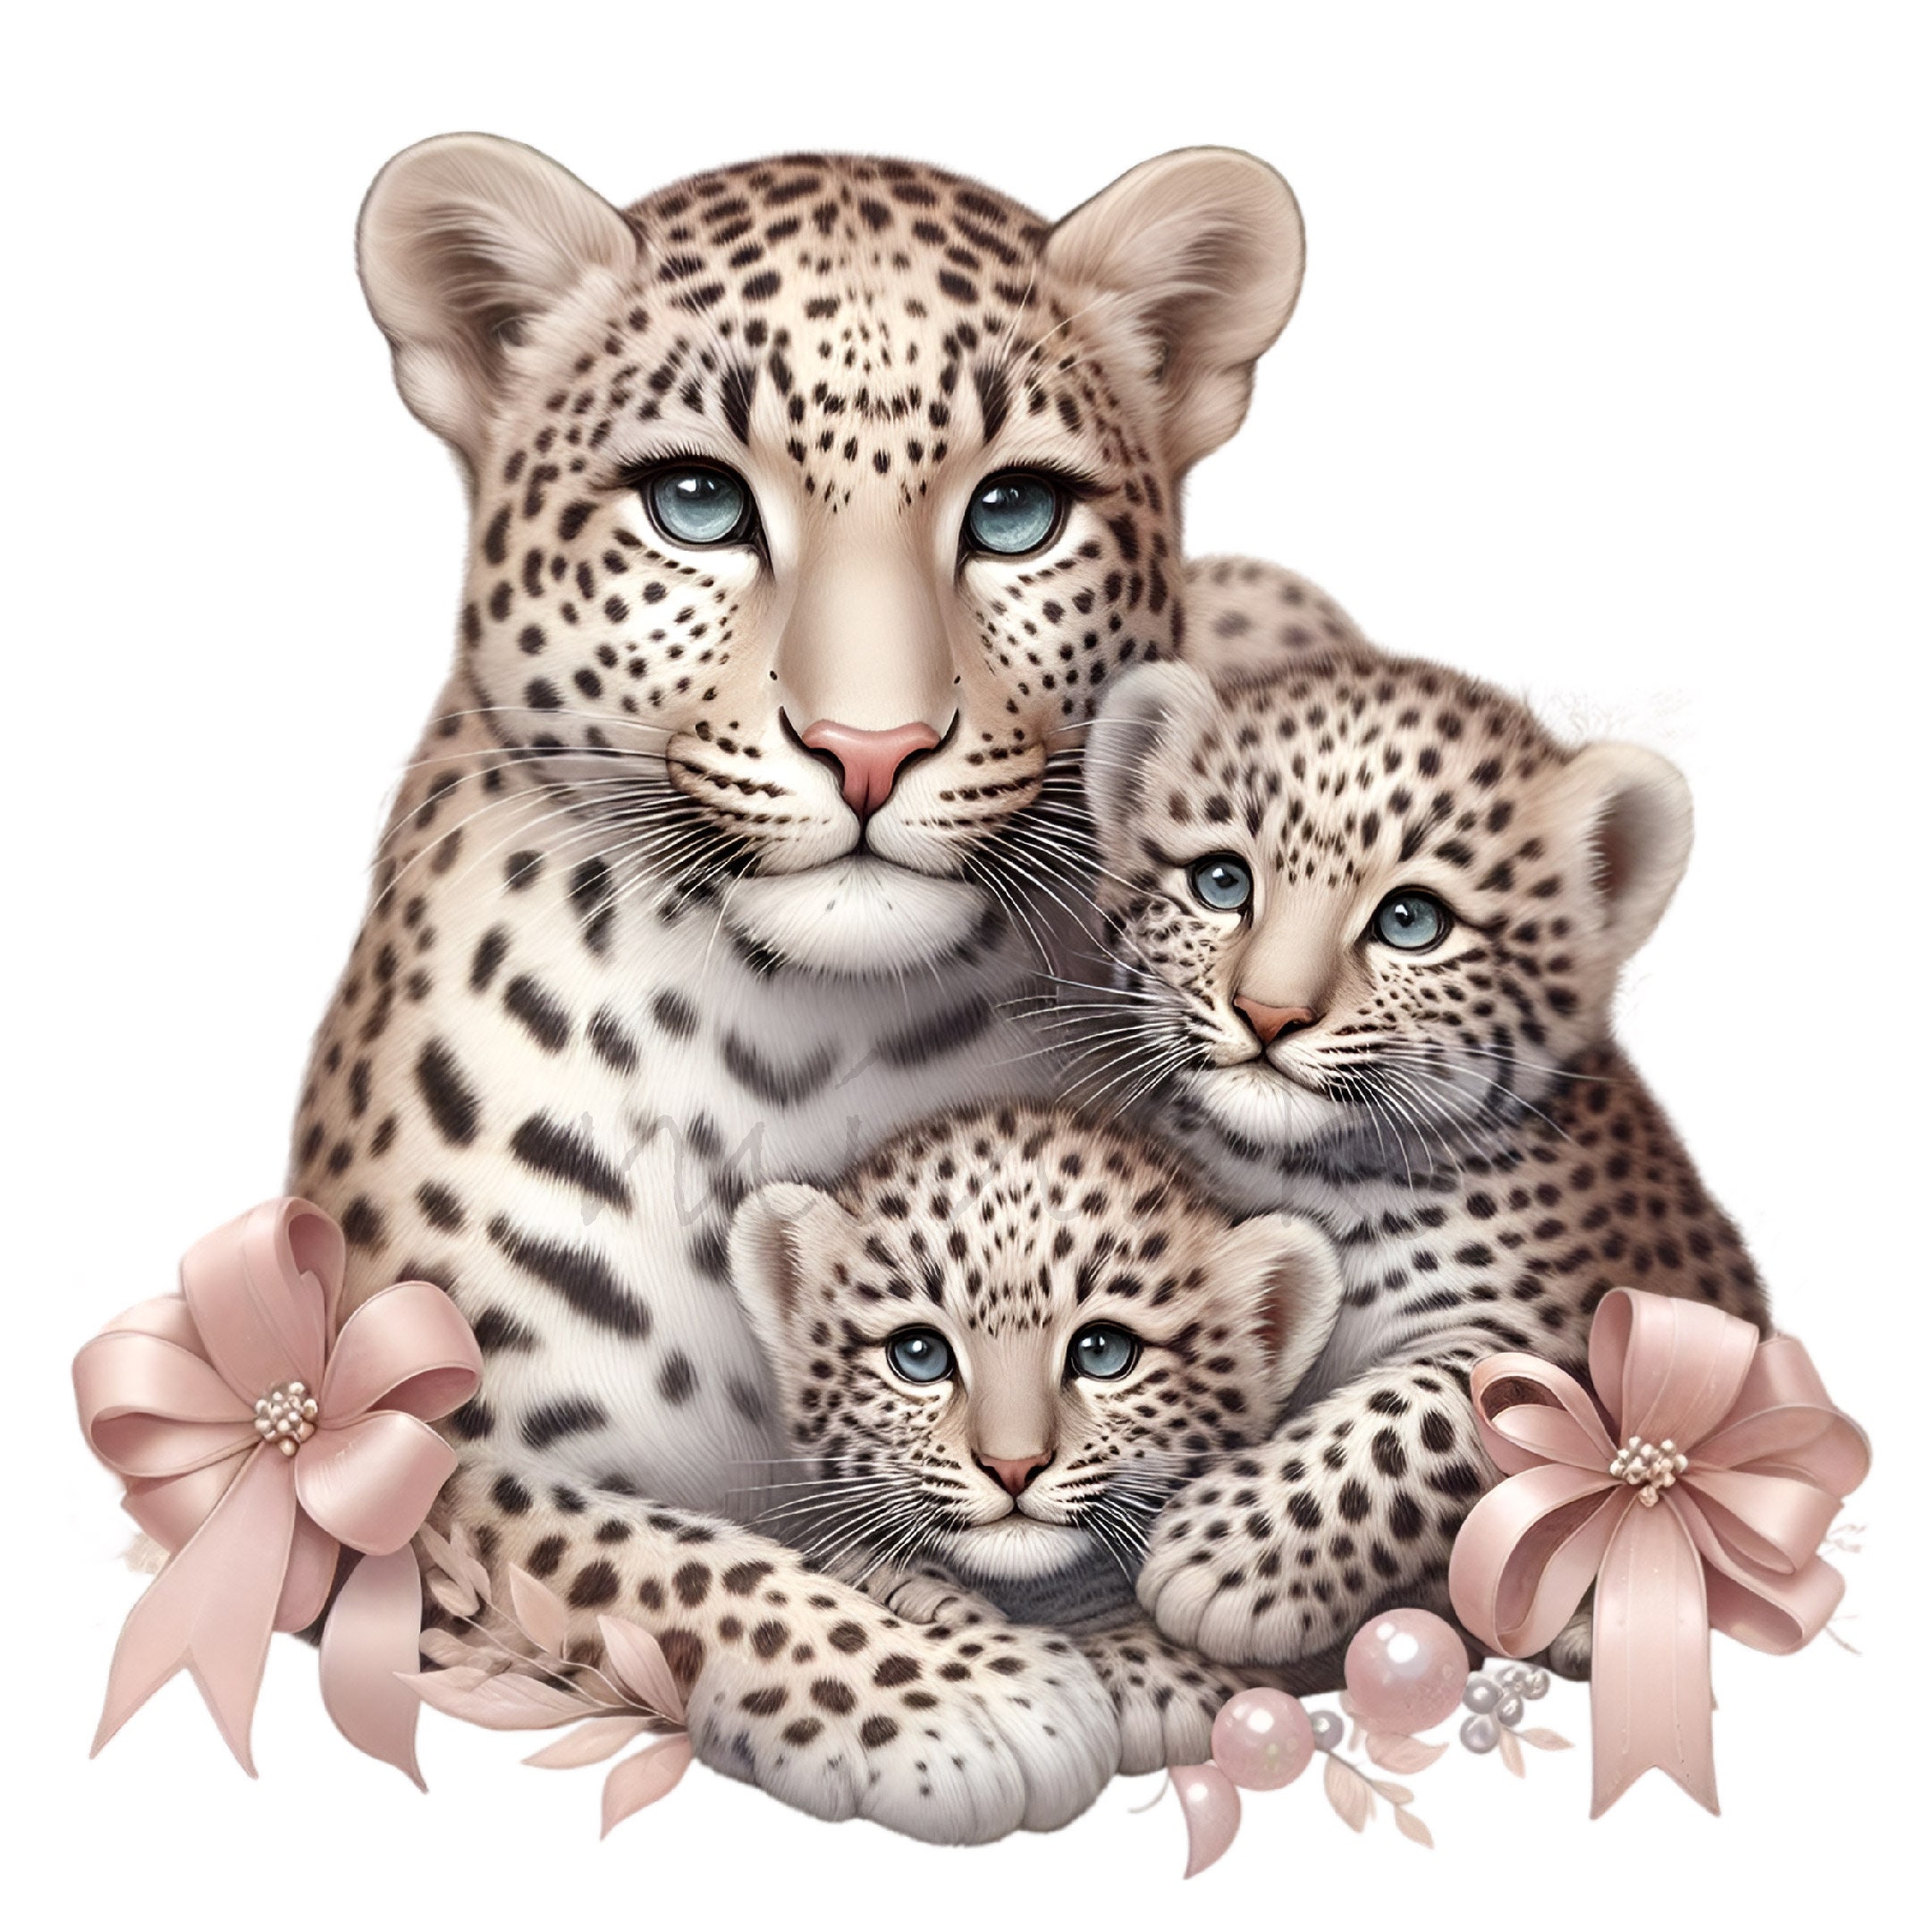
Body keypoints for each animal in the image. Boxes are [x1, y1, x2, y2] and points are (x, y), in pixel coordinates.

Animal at [1078, 647, 1770, 1673]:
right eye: (1220, 882)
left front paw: (1220, 1559)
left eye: (1411, 920)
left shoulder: (1574, 1331)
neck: (1307, 1173)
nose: (1267, 1013)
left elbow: (1418, 1411)